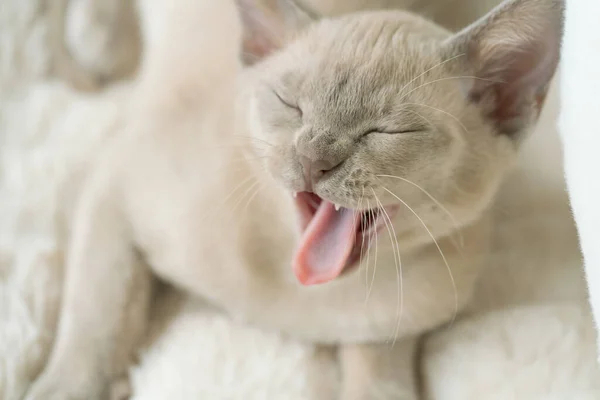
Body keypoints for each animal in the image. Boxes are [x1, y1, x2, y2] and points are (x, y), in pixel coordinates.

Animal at [27, 0, 564, 398]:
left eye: (386, 132)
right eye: (292, 106)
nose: (312, 159)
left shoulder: (387, 331)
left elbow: (380, 384)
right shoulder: (114, 189)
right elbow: (98, 318)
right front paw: (71, 387)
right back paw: (100, 49)